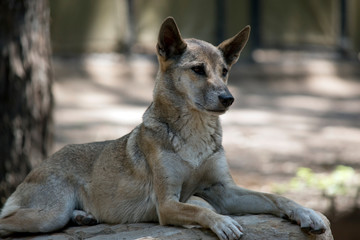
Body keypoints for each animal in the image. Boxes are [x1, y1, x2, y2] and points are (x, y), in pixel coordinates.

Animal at [0, 17, 326, 240]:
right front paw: (222, 222)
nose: (228, 98)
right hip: (48, 215)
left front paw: (307, 213)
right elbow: (200, 209)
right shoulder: (167, 204)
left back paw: (82, 218)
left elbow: (275, 197)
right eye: (198, 70)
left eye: (224, 71)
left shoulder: (225, 191)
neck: (194, 133)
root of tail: (42, 163)